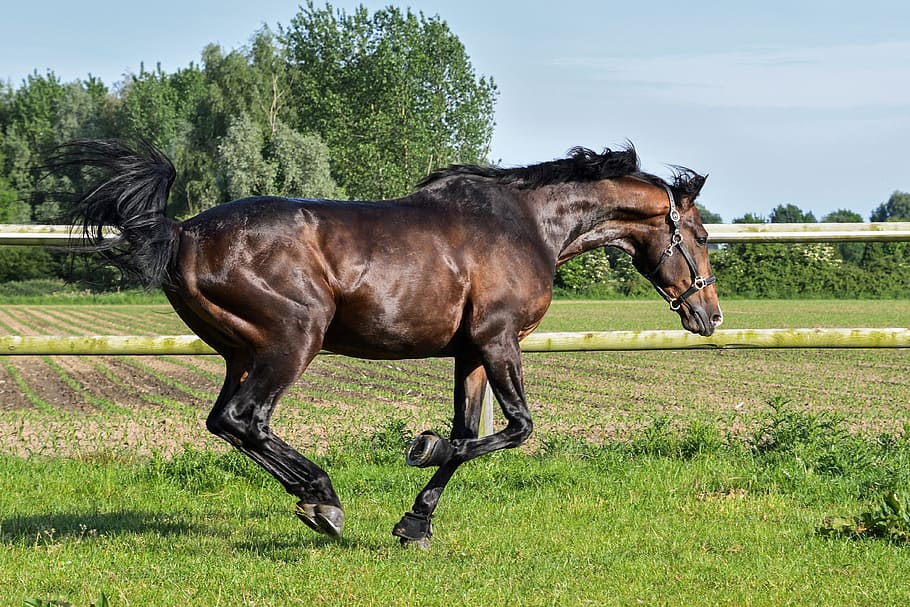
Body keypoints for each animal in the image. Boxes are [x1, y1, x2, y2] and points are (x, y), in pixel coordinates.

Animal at [44, 140, 728, 548]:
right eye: (698, 234)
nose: (711, 315)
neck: (529, 225)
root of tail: (182, 231)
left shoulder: (469, 352)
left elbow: (468, 434)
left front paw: (415, 522)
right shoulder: (499, 340)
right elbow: (514, 429)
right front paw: (420, 448)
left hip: (242, 352)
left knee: (225, 422)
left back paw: (315, 499)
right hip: (293, 340)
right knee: (246, 418)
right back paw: (323, 502)